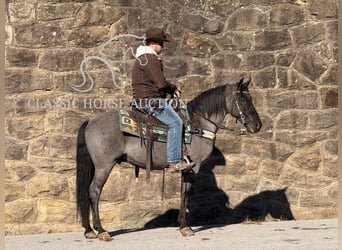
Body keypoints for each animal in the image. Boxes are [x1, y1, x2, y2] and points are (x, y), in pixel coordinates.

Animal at [75, 78, 262, 240]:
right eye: (243, 99)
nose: (258, 125)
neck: (197, 125)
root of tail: (90, 121)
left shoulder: (187, 167)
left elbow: (183, 192)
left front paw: (183, 224)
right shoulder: (193, 167)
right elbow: (186, 193)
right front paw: (185, 227)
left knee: (86, 192)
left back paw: (89, 230)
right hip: (104, 166)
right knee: (94, 192)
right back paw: (101, 230)